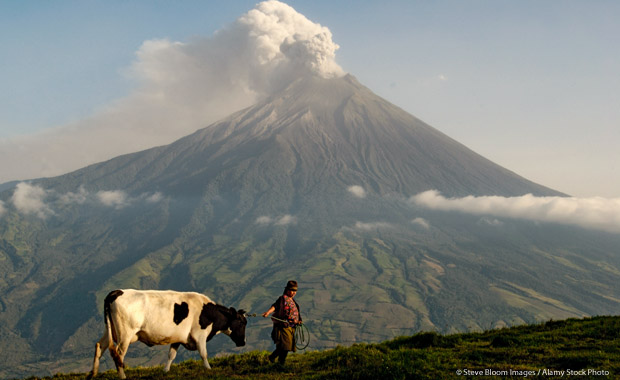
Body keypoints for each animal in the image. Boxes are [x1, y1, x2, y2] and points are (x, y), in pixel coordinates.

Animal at [87, 290, 247, 378]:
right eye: (242, 322)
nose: (243, 342)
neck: (209, 312)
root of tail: (116, 292)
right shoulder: (199, 335)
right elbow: (203, 354)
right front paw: (208, 369)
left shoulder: (178, 338)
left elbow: (171, 355)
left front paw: (165, 370)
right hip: (125, 334)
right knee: (118, 354)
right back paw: (122, 376)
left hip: (110, 330)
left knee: (99, 346)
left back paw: (93, 373)